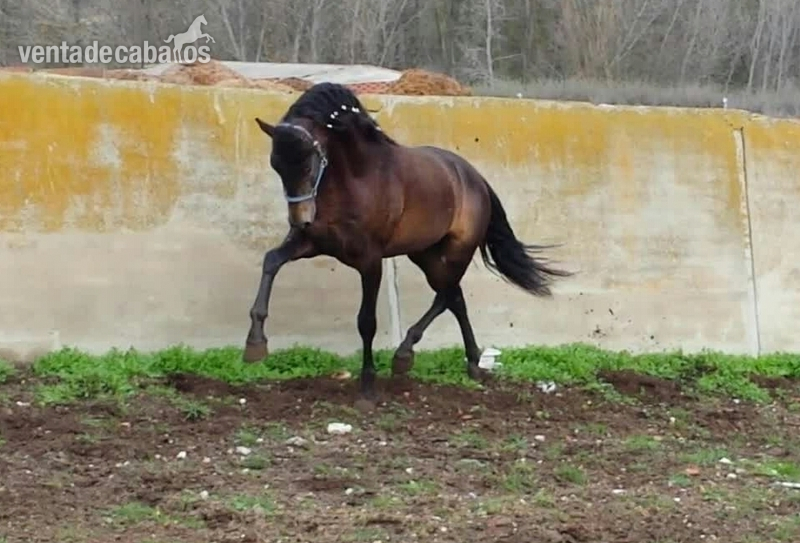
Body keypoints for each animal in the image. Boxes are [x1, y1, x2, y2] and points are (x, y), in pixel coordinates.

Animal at [243, 82, 571, 403]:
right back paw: (471, 363)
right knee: (454, 298)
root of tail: (475, 178)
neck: (355, 180)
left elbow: (367, 321)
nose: (300, 220)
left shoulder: (370, 261)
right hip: (425, 254)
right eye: (275, 164)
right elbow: (271, 260)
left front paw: (367, 388)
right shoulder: (313, 244)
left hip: (456, 252)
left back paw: (406, 355)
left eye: (309, 163)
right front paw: (255, 344)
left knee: (446, 295)